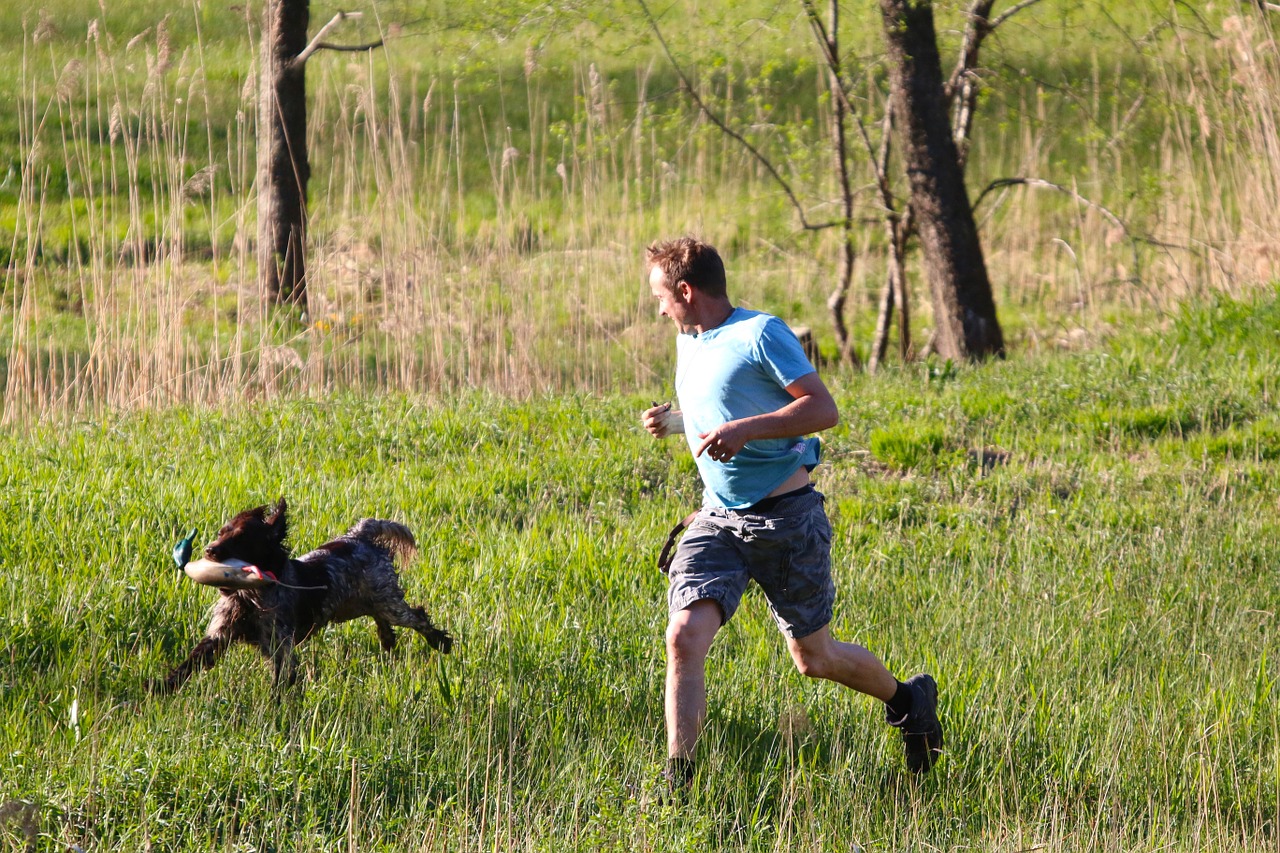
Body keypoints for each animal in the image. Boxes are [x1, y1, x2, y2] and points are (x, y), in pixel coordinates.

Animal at [158, 499, 453, 691]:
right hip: (364, 603)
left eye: (240, 538)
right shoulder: (219, 636)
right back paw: (388, 640)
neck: (251, 595)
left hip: (389, 601)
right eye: (221, 533)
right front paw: (159, 688)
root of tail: (358, 536)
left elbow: (281, 682)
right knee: (382, 619)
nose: (209, 550)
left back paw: (440, 642)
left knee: (416, 616)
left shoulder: (280, 645)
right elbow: (189, 664)